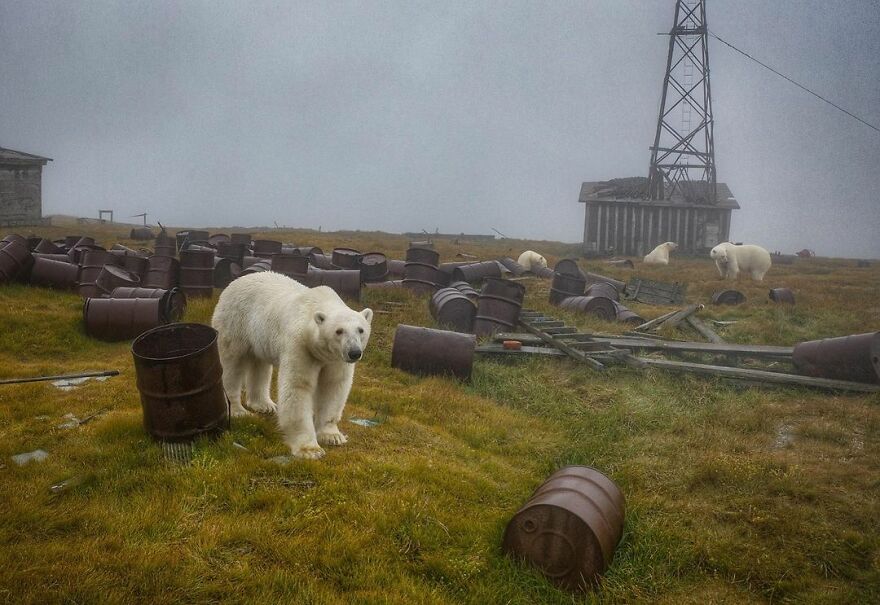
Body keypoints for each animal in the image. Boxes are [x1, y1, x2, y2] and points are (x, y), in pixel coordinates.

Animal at [211, 270, 372, 458]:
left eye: (361, 330)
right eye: (339, 331)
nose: (354, 352)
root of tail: (235, 281)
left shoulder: (336, 359)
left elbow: (333, 386)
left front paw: (332, 436)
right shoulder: (300, 346)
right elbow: (298, 387)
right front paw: (310, 450)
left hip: (259, 336)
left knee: (260, 365)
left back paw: (264, 405)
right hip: (235, 322)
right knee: (232, 365)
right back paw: (238, 410)